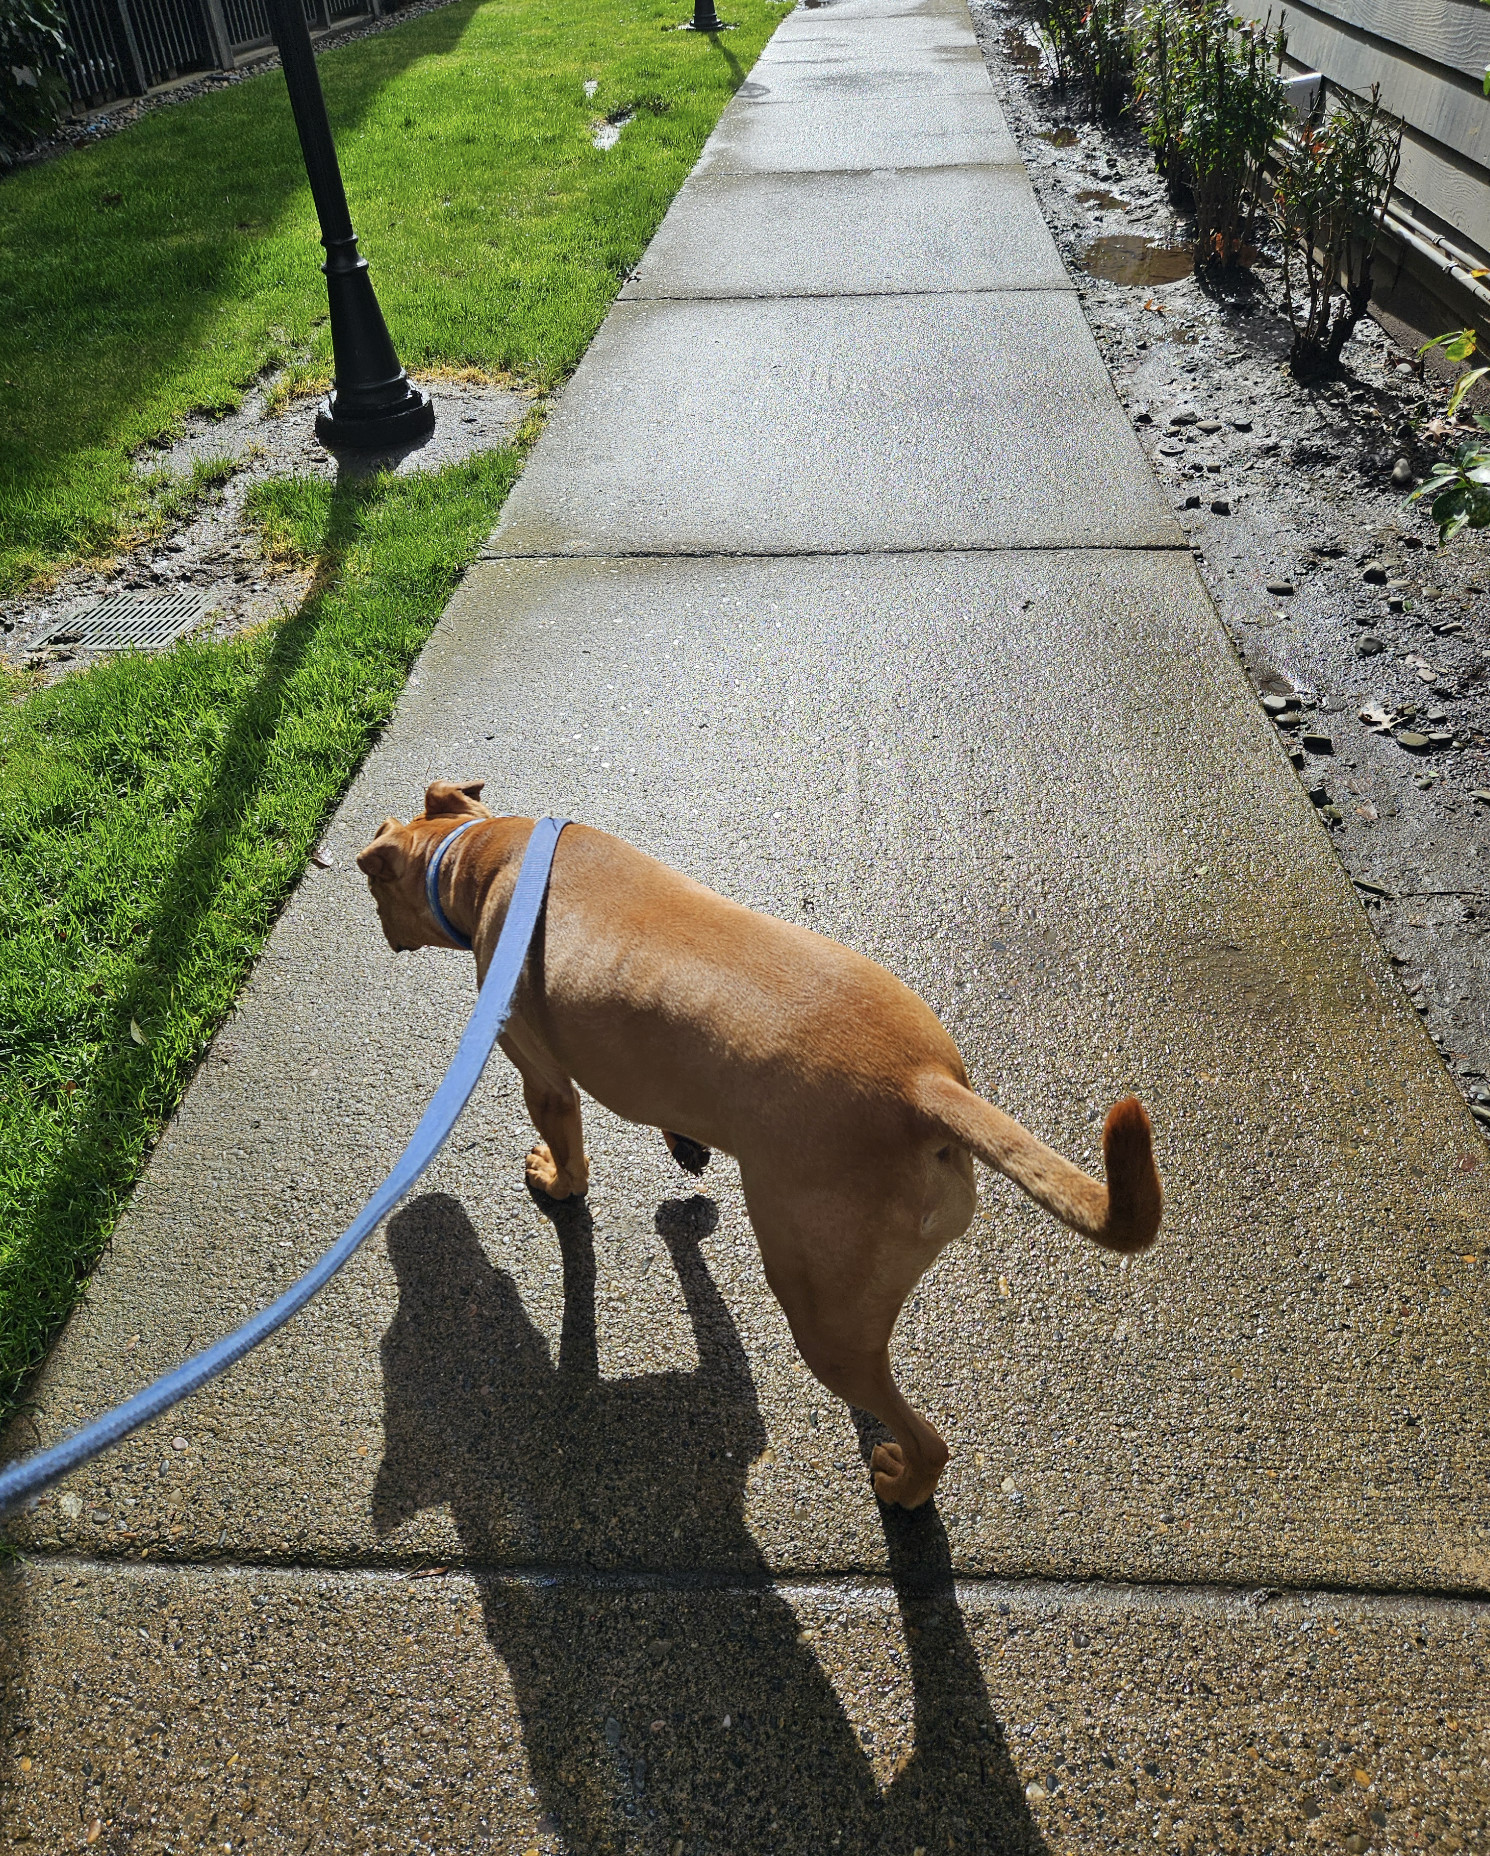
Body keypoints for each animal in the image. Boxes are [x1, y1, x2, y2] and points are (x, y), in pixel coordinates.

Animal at [361, 783, 1165, 1507]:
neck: (485, 852)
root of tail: (925, 1084)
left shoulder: (542, 1077)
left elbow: (568, 1152)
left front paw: (558, 1181)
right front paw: (684, 1145)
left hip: (818, 1306)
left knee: (923, 1434)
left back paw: (904, 1486)